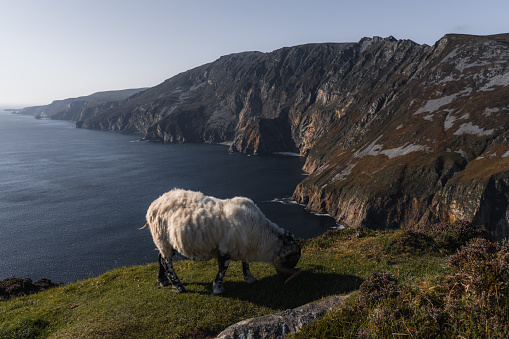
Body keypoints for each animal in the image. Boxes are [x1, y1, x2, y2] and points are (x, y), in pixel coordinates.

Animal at [144, 189, 302, 294]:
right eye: (293, 258)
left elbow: (245, 263)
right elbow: (223, 268)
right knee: (167, 262)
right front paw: (218, 288)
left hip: (165, 242)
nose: (283, 275)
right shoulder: (225, 249)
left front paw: (249, 278)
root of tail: (154, 203)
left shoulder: (243, 246)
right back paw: (178, 286)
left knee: (160, 258)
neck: (260, 234)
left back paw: (162, 280)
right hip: (162, 240)